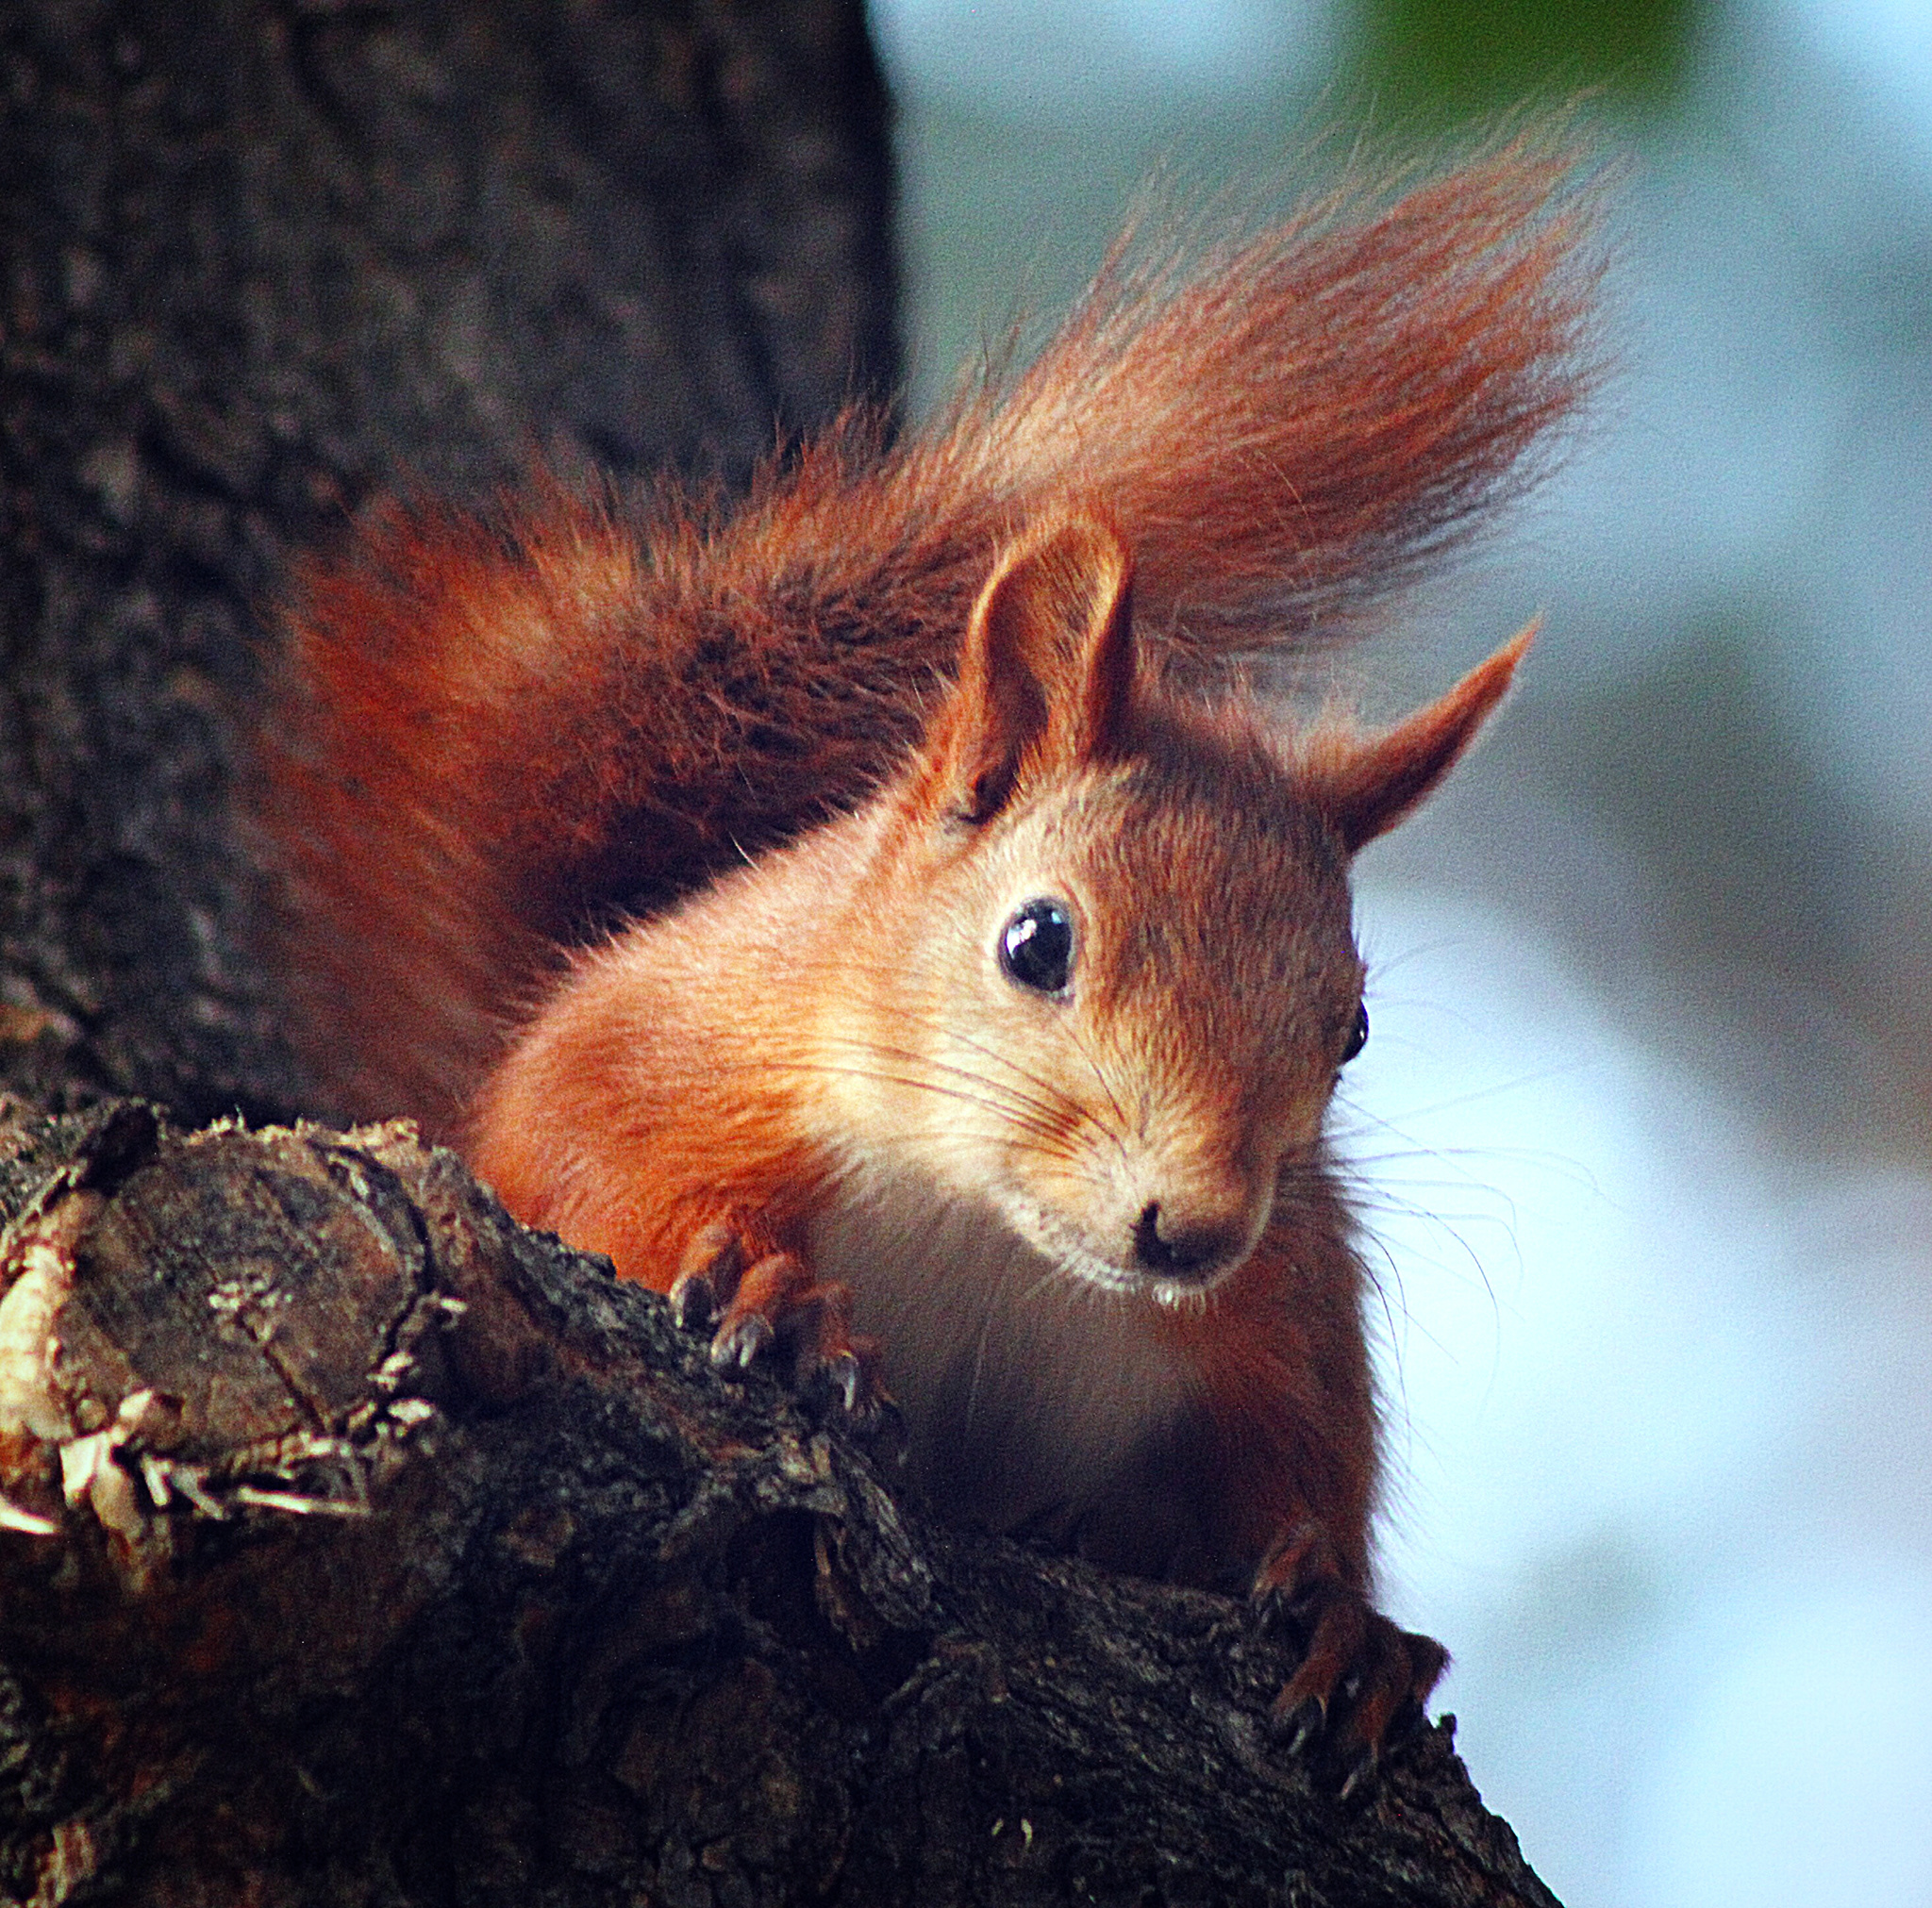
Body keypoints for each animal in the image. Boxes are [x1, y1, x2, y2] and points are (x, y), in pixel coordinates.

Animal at [264, 141, 1607, 1768]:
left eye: (1351, 1025)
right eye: (1036, 938)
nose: (1197, 1228)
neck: (989, 1225)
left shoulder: (1282, 1308)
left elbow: (1305, 1471)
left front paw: (1347, 1624)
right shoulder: (663, 1034)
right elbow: (573, 1162)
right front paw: (764, 1289)